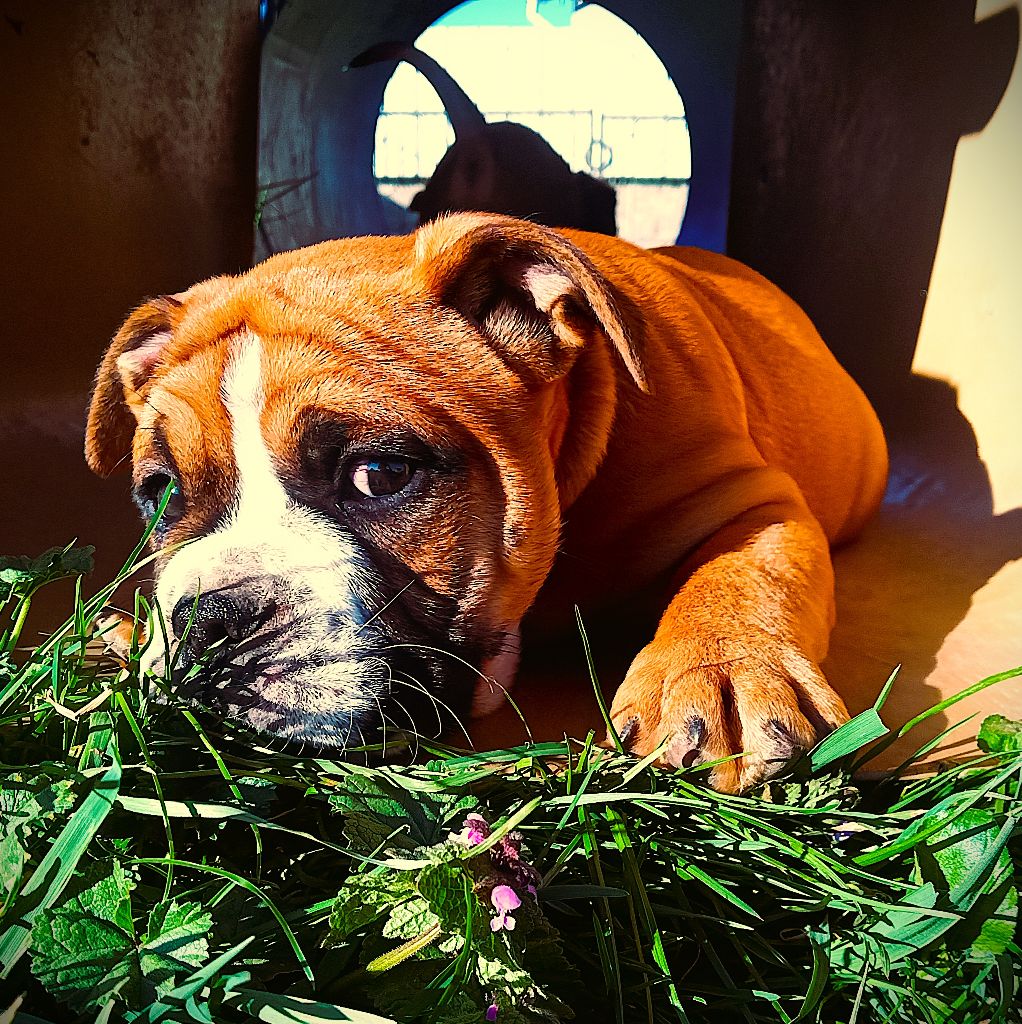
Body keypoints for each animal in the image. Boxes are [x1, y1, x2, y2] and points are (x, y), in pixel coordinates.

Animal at [85, 214, 888, 791]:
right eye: (160, 495)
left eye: (380, 474)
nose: (208, 623)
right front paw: (125, 637)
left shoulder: (752, 503)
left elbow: (742, 576)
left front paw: (719, 675)